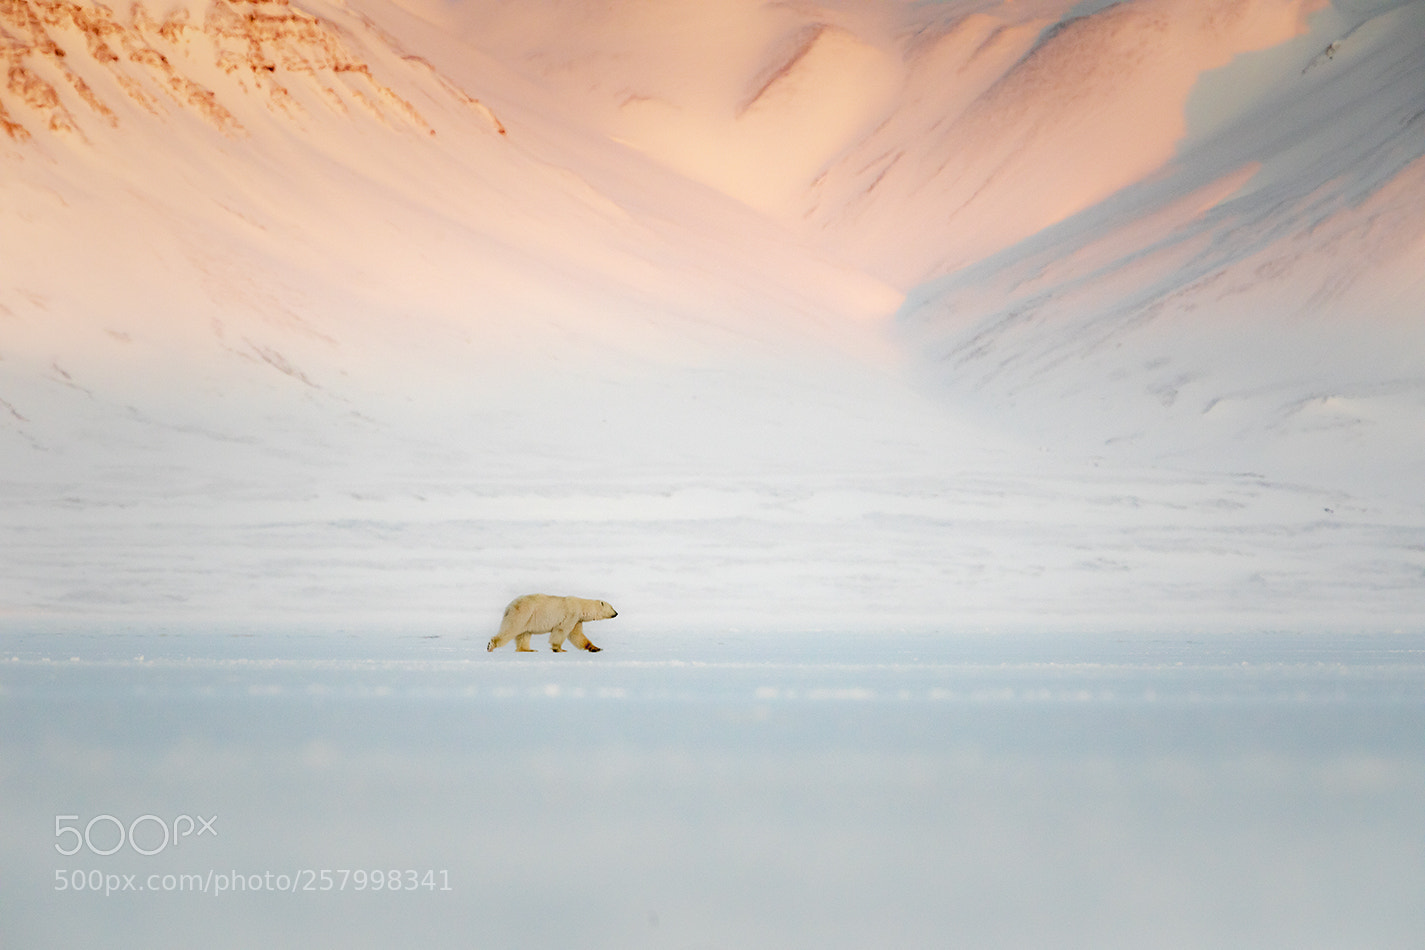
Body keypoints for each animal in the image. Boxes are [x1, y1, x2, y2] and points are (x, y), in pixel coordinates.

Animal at [487, 594, 618, 653]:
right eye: (612, 607)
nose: (616, 613)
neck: (581, 606)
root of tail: (509, 606)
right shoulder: (571, 614)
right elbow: (561, 631)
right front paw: (559, 649)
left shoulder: (577, 619)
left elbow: (577, 635)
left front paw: (595, 648)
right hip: (523, 613)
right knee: (511, 629)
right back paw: (491, 645)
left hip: (527, 618)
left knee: (524, 634)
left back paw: (528, 649)